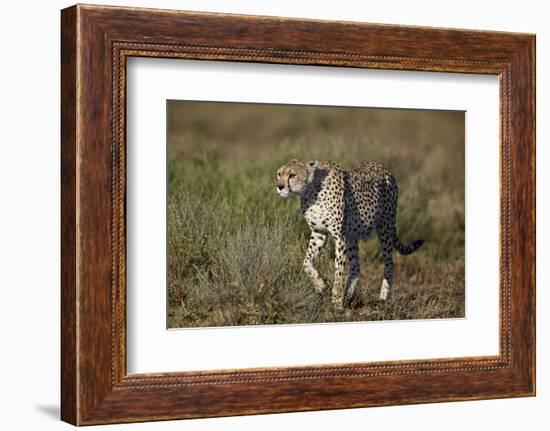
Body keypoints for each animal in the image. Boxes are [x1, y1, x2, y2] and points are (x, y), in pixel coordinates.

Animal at [276, 159, 426, 310]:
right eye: (279, 174)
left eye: (292, 175)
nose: (280, 186)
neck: (310, 190)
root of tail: (383, 167)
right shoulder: (319, 233)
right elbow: (306, 263)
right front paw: (320, 285)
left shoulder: (339, 237)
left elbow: (339, 273)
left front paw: (336, 303)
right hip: (352, 235)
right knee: (355, 267)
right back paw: (348, 296)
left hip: (385, 228)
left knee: (389, 264)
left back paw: (383, 298)